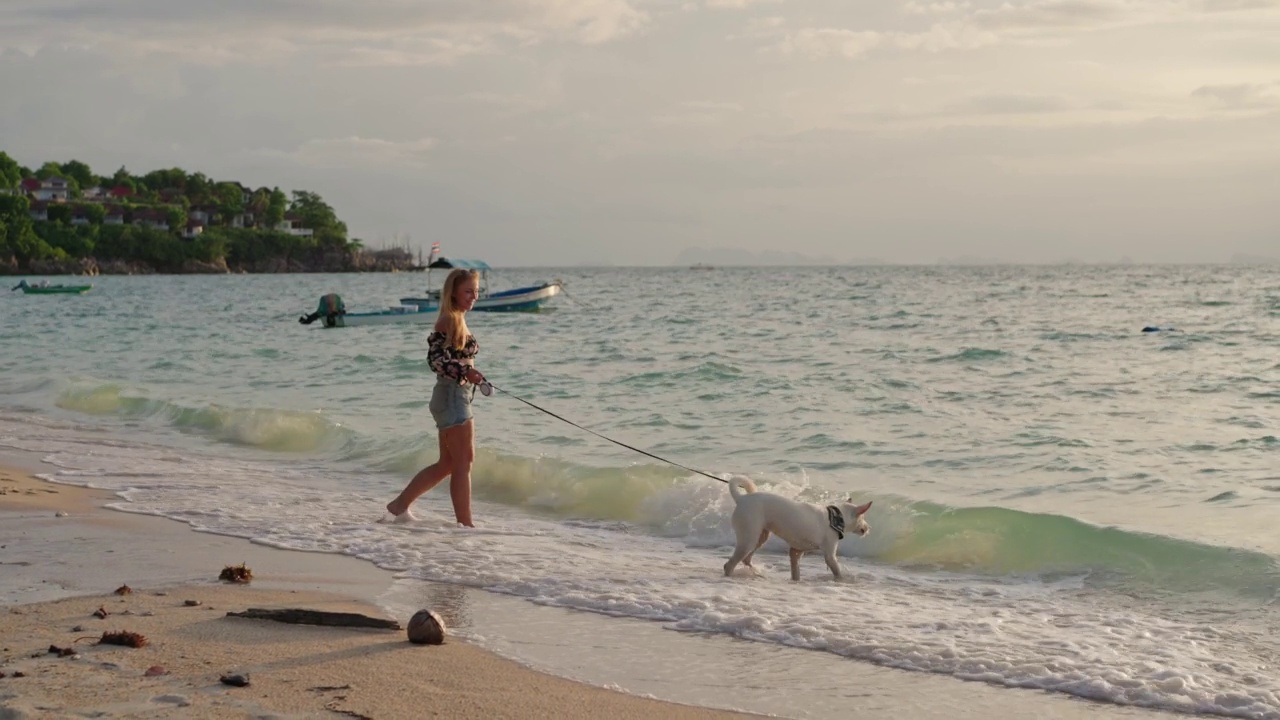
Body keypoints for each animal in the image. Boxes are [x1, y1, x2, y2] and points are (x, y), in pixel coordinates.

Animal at [721, 476, 870, 576]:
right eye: (863, 518)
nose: (868, 528)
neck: (836, 517)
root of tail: (741, 499)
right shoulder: (830, 556)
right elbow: (837, 573)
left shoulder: (796, 552)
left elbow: (795, 572)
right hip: (749, 539)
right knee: (729, 564)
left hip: (761, 537)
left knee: (746, 559)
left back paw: (756, 573)